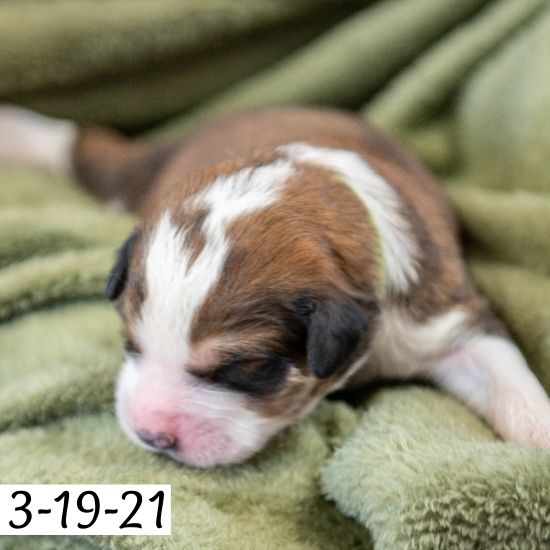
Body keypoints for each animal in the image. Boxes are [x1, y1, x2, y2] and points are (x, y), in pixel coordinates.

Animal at [3, 106, 550, 470]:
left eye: (244, 369)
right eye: (129, 343)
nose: (150, 435)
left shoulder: (443, 314)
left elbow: (504, 372)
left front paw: (539, 434)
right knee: (83, 147)